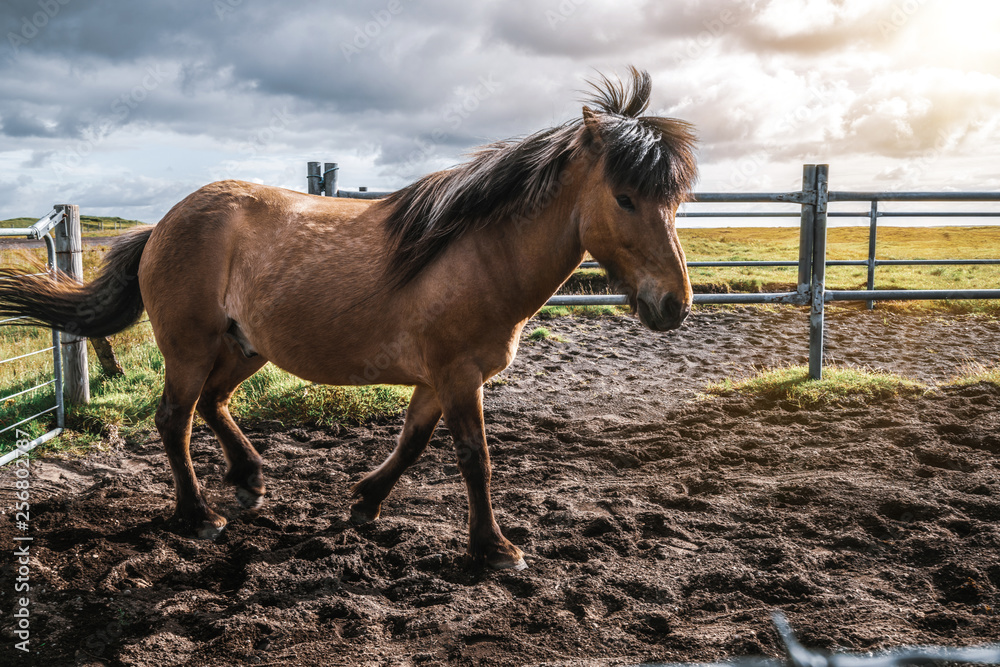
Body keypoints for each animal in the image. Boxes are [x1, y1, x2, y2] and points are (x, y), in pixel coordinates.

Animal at [0, 66, 696, 568]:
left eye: (675, 200)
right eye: (625, 198)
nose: (675, 305)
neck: (478, 253)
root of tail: (164, 224)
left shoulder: (437, 380)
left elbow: (412, 442)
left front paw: (365, 502)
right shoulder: (458, 375)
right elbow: (474, 456)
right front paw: (494, 549)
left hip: (244, 347)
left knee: (214, 404)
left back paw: (250, 480)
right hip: (190, 348)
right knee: (175, 418)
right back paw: (200, 517)